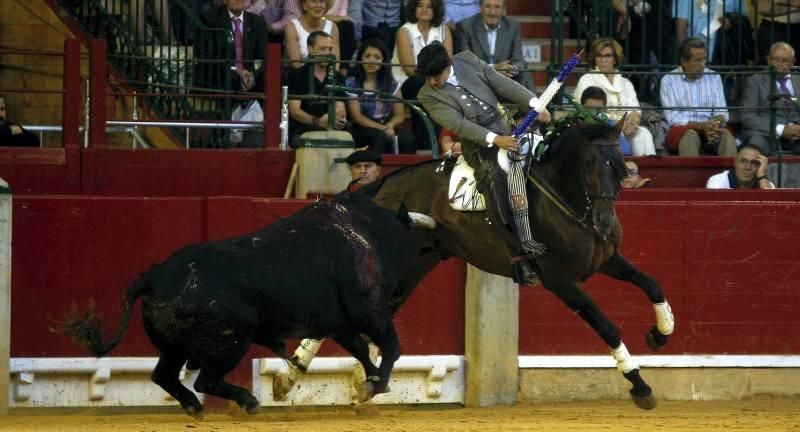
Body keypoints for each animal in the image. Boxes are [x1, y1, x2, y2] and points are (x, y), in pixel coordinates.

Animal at [59, 193, 432, 418]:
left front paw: (371, 384)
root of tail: (154, 276)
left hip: (175, 346)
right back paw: (247, 402)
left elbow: (362, 350)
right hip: (232, 341)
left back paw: (195, 408)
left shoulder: (338, 323)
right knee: (205, 380)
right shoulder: (370, 312)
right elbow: (391, 348)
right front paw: (376, 385)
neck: (369, 231)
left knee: (165, 375)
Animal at [278, 117, 672, 408]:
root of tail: (380, 188)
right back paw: (293, 377)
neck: (567, 200)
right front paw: (640, 386)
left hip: (418, 262)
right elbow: (607, 326)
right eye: (589, 163)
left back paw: (346, 379)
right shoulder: (560, 280)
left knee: (381, 309)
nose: (604, 221)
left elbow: (652, 283)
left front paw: (659, 334)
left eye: (620, 167)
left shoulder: (607, 260)